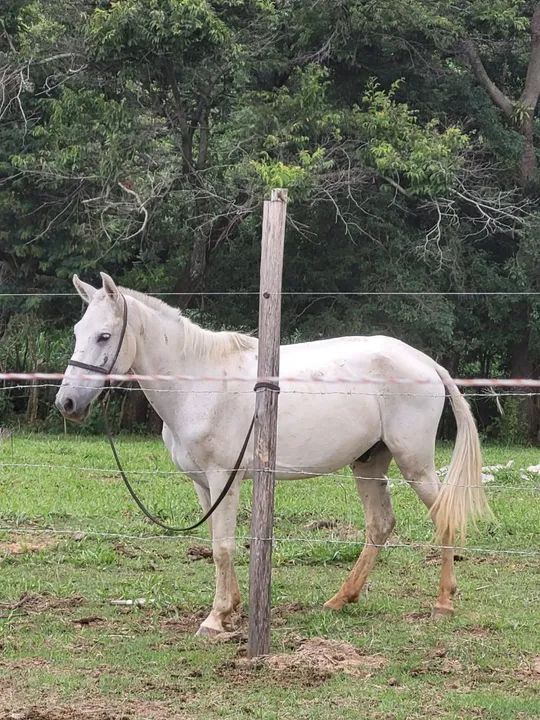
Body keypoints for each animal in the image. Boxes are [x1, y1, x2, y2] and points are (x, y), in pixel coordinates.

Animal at [55, 272, 491, 636]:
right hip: (369, 463)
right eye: (78, 332)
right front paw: (230, 608)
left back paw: (443, 603)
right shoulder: (203, 484)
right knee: (380, 526)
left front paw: (215, 619)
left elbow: (224, 546)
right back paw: (340, 599)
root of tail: (425, 362)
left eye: (104, 336)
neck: (201, 382)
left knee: (443, 518)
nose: (67, 403)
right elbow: (217, 543)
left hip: (415, 464)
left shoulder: (223, 478)